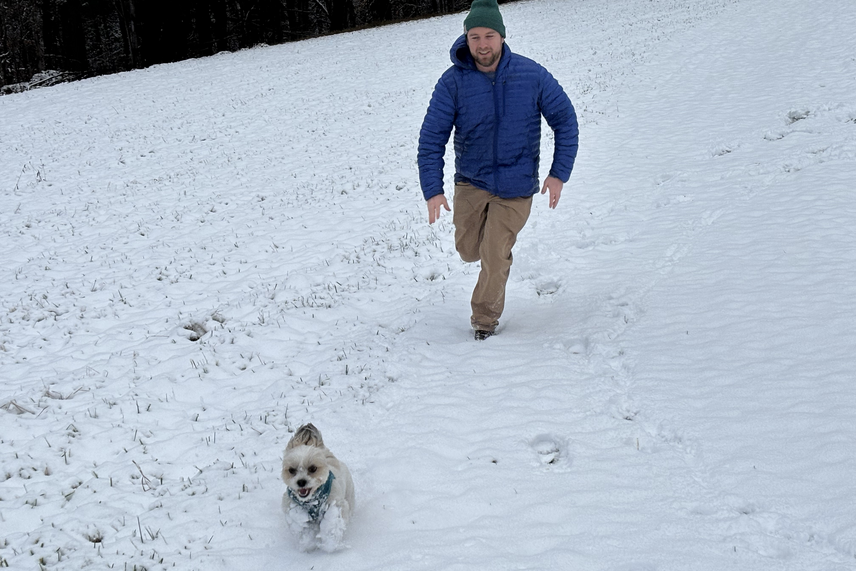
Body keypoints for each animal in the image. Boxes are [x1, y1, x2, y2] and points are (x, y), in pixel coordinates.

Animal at [280, 422, 354, 552]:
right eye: (291, 470)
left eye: (313, 468)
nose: (301, 482)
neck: (312, 499)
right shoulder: (290, 505)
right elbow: (300, 525)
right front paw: (307, 542)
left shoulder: (336, 503)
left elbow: (332, 521)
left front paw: (330, 543)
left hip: (350, 494)